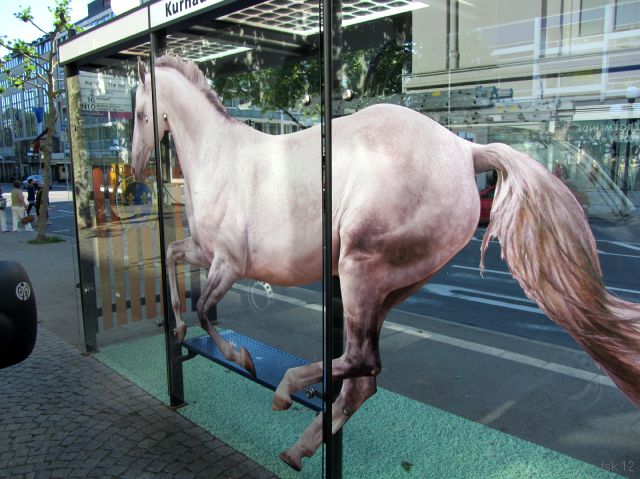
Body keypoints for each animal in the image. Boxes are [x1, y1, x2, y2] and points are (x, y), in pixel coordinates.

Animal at [131, 55, 640, 471]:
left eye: (137, 111)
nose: (135, 167)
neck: (221, 157)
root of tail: (466, 149)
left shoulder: (230, 264)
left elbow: (205, 310)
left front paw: (244, 359)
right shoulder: (204, 251)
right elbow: (172, 259)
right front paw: (176, 328)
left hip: (361, 270)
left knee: (361, 361)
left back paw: (286, 392)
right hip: (391, 288)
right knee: (363, 379)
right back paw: (298, 447)